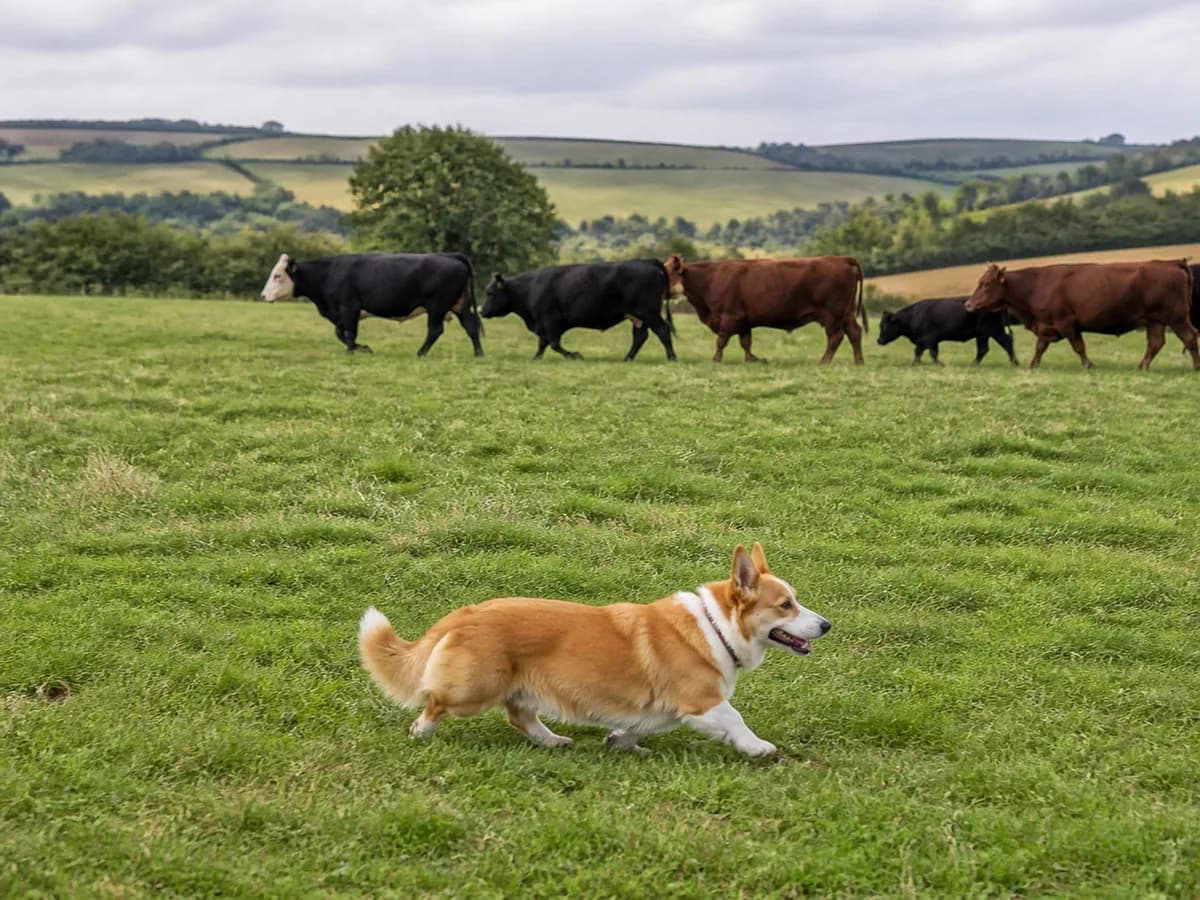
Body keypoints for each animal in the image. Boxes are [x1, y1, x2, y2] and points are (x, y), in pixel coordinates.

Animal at [259, 252, 483, 356]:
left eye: (278, 276)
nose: (263, 295)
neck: (329, 273)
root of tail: (450, 255)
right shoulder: (341, 313)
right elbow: (340, 333)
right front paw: (362, 348)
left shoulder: (349, 308)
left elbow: (349, 333)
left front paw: (353, 351)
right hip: (460, 304)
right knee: (471, 327)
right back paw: (478, 354)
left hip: (436, 307)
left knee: (435, 330)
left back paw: (421, 353)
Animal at [481, 259, 675, 361]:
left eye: (490, 292)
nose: (482, 311)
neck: (530, 288)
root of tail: (647, 261)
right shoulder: (543, 324)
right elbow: (543, 343)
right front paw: (536, 358)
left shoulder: (551, 321)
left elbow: (554, 344)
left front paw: (574, 355)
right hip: (638, 317)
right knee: (640, 337)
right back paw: (627, 358)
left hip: (649, 313)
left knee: (663, 330)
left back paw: (672, 357)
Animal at [662, 255, 866, 364]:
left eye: (666, 272)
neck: (710, 279)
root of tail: (841, 259)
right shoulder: (744, 321)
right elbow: (746, 342)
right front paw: (752, 359)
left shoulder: (729, 317)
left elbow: (721, 341)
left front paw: (716, 360)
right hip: (847, 313)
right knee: (855, 333)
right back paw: (859, 362)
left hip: (833, 315)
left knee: (835, 337)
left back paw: (824, 361)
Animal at [877, 296, 1019, 366]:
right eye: (880, 325)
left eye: (885, 326)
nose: (879, 340)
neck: (914, 315)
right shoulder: (927, 341)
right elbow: (921, 352)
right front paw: (916, 363)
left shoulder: (929, 338)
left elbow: (930, 353)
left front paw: (938, 364)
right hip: (983, 335)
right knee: (983, 349)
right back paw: (974, 364)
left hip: (994, 331)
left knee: (1006, 343)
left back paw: (1015, 363)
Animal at [964, 260, 1198, 370]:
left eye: (986, 283)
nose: (968, 304)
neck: (1035, 285)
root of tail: (1171, 262)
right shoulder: (1046, 325)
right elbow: (1040, 347)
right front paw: (1032, 365)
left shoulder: (1066, 323)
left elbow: (1078, 347)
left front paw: (1088, 365)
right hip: (1155, 320)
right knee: (1155, 343)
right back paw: (1142, 366)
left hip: (1176, 317)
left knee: (1190, 337)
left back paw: (1195, 367)